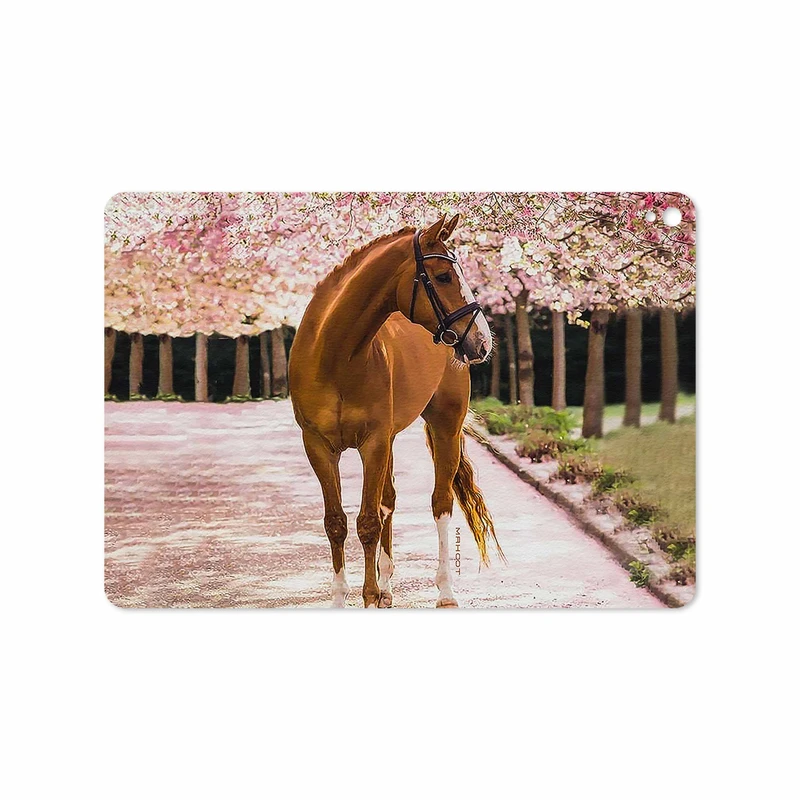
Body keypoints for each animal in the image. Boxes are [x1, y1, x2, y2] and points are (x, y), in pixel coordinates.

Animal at [289, 214, 503, 608]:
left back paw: (444, 591)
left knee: (440, 503)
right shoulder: (318, 446)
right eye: (443, 276)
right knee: (388, 500)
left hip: (444, 427)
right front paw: (346, 597)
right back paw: (388, 584)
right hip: (388, 440)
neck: (335, 356)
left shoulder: (372, 443)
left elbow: (368, 521)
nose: (482, 341)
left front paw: (369, 596)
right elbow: (336, 522)